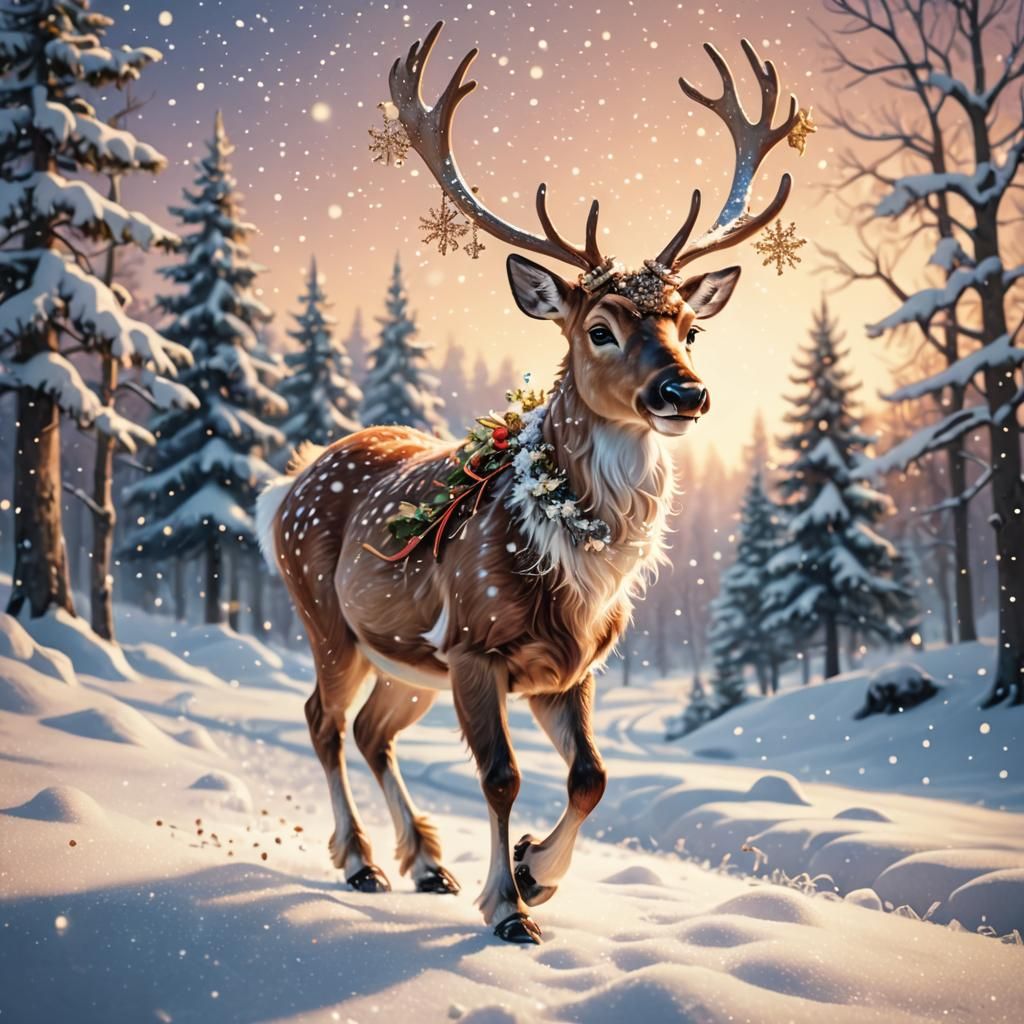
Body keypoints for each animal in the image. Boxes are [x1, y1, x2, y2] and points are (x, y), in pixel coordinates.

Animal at [257, 21, 799, 944]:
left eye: (690, 326)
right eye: (600, 328)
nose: (684, 393)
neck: (574, 569)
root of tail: (285, 486)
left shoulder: (569, 667)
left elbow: (592, 776)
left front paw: (533, 873)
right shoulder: (478, 646)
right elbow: (502, 776)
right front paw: (509, 909)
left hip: (409, 662)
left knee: (370, 731)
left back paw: (427, 864)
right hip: (328, 618)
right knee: (322, 722)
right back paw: (363, 862)